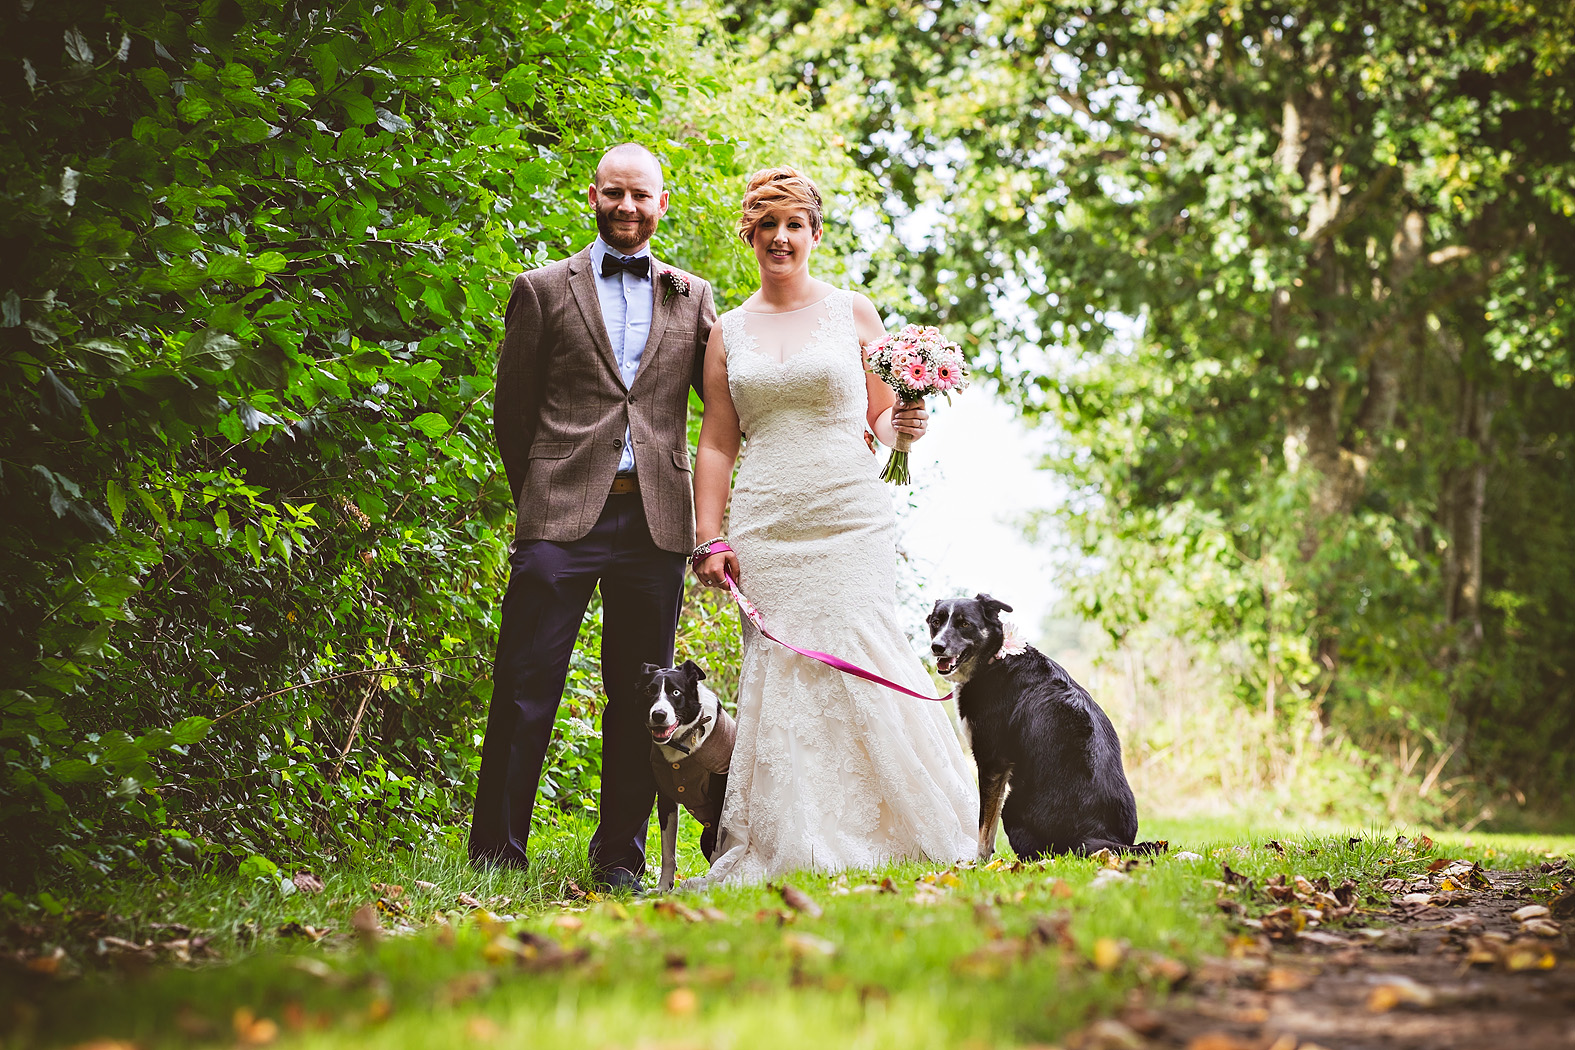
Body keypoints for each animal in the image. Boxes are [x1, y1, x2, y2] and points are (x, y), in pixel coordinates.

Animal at [636, 661, 733, 894]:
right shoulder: (666, 799)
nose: (659, 714)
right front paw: (663, 887)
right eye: (649, 691)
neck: (682, 741)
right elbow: (668, 851)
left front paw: (711, 883)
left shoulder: (720, 802)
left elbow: (718, 853)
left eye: (675, 692)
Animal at [919, 595, 1171, 856]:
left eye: (965, 624)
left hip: (1013, 806)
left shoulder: (992, 761)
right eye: (936, 622)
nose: (936, 647)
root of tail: (1094, 835)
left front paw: (980, 862)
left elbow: (985, 826)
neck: (993, 659)